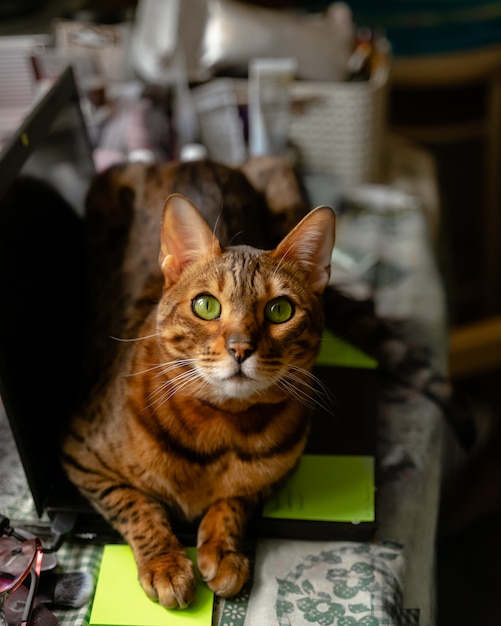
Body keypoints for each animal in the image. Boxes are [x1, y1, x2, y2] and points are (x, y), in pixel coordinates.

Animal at [61, 156, 336, 604]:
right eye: (206, 305)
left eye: (279, 310)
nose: (241, 348)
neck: (222, 429)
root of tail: (190, 158)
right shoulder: (83, 455)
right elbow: (137, 506)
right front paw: (166, 563)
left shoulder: (274, 478)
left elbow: (234, 502)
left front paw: (222, 550)